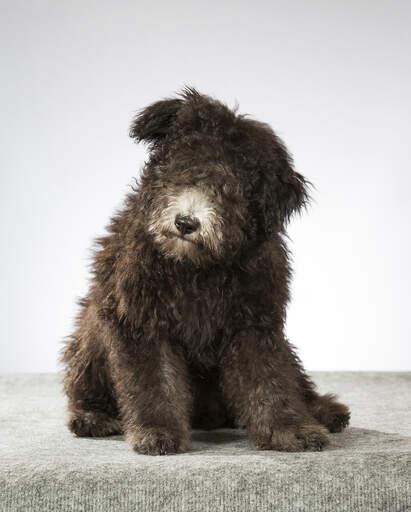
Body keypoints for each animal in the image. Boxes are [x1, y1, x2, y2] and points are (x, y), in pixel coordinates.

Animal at [61, 89, 350, 456]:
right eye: (180, 168)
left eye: (230, 189)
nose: (186, 223)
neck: (197, 268)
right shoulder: (141, 322)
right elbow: (154, 382)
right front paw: (158, 431)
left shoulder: (254, 325)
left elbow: (270, 382)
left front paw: (289, 429)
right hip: (91, 336)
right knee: (84, 383)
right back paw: (92, 417)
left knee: (296, 380)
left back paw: (325, 410)